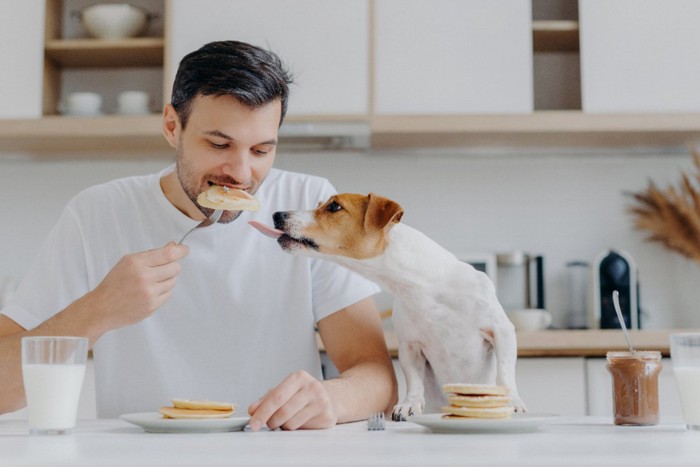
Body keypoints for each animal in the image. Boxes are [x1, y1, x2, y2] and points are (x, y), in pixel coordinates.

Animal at [249, 192, 524, 418]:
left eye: (334, 206)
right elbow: (413, 380)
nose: (277, 214)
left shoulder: (501, 331)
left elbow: (505, 372)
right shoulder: (410, 346)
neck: (423, 288)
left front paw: (513, 402)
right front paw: (409, 405)